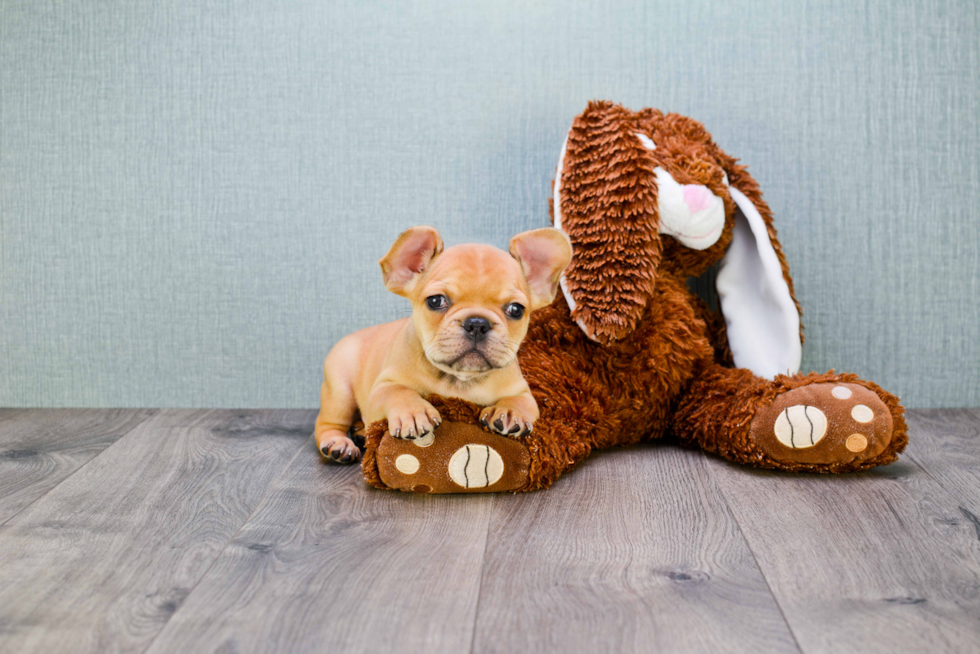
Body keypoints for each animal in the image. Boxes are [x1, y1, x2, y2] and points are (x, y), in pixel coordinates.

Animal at [314, 228, 576, 464]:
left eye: (516, 309)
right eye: (435, 301)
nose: (477, 323)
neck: (458, 380)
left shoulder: (522, 392)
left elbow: (519, 401)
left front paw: (510, 412)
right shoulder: (380, 390)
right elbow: (398, 391)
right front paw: (413, 411)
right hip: (339, 391)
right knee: (326, 423)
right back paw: (338, 444)